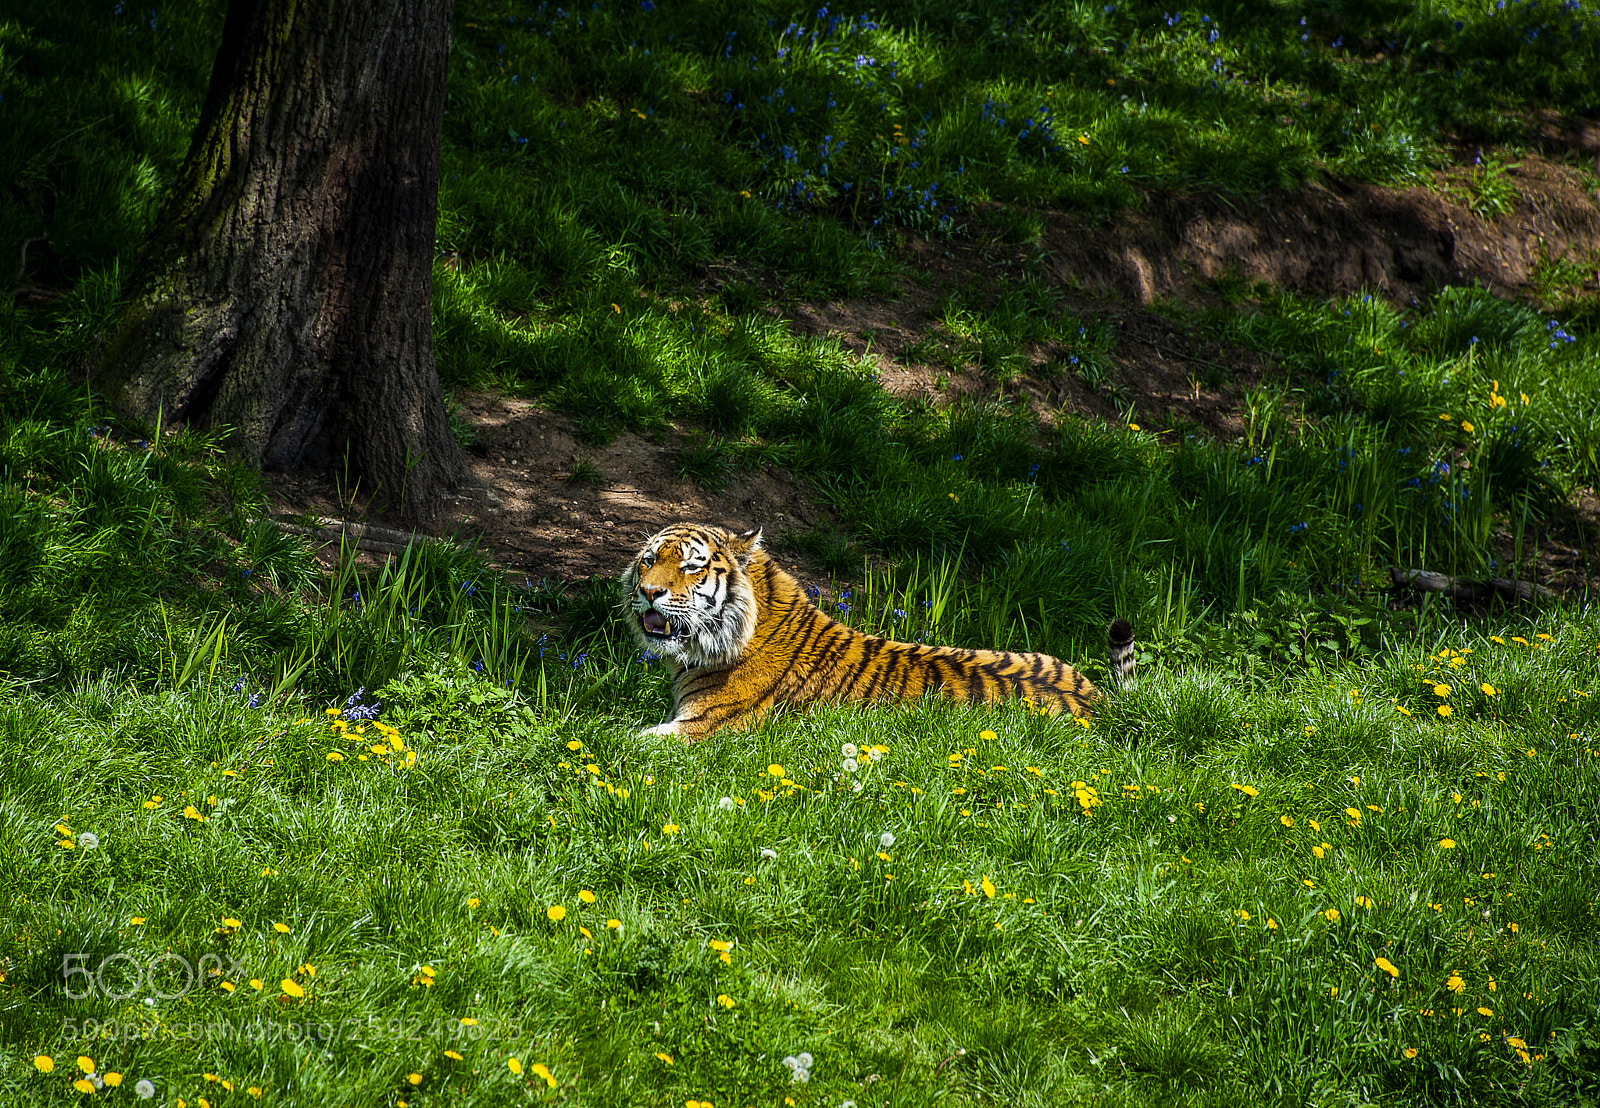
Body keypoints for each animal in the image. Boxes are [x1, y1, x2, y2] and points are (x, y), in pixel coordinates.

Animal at [620, 522, 1135, 740]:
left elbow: (620, 742)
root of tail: (1100, 701)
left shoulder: (696, 730)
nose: (648, 591)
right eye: (649, 559)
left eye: (691, 566)